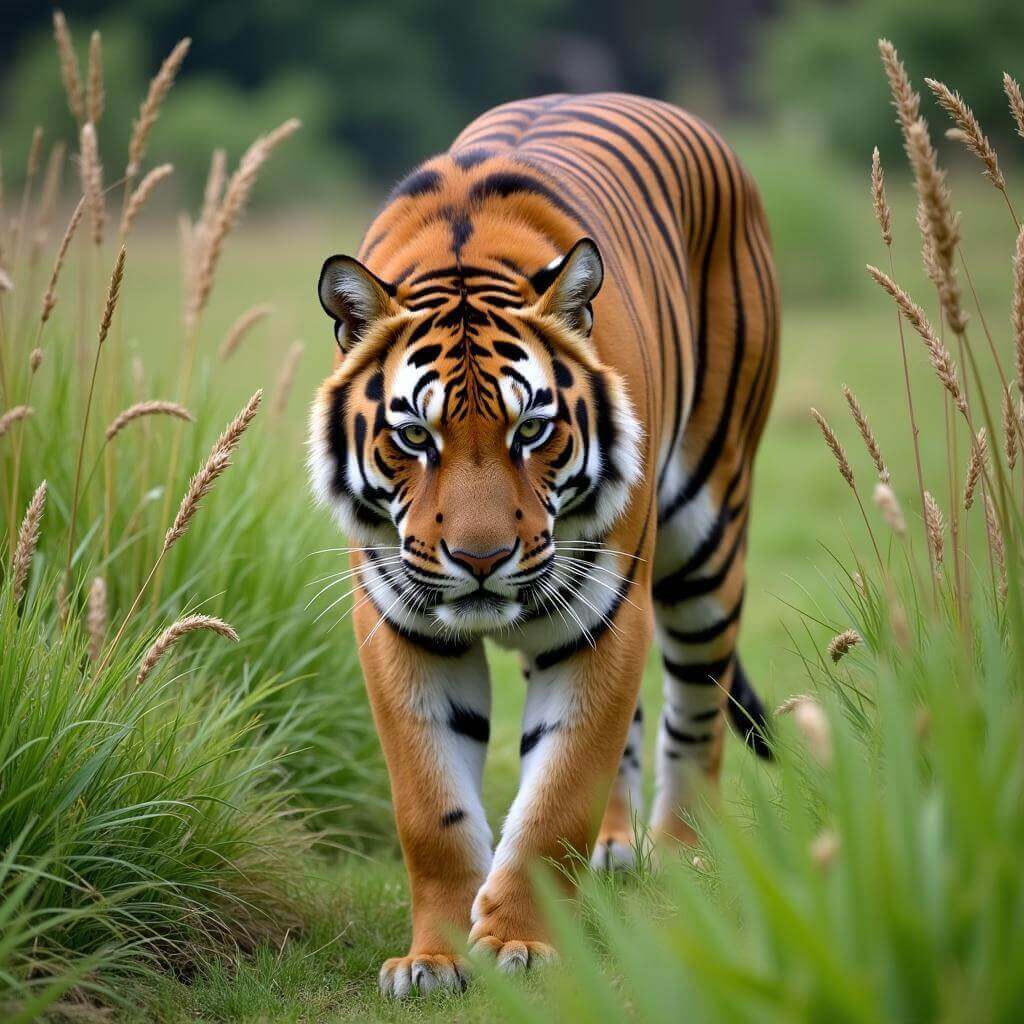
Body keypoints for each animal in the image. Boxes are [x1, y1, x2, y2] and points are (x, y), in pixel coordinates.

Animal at [307, 92, 778, 995]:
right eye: (414, 436)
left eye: (531, 430)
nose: (481, 560)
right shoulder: (398, 625)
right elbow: (432, 808)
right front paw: (436, 958)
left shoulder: (607, 612)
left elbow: (557, 794)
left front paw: (521, 944)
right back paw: (619, 847)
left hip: (707, 536)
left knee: (694, 711)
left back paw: (683, 858)